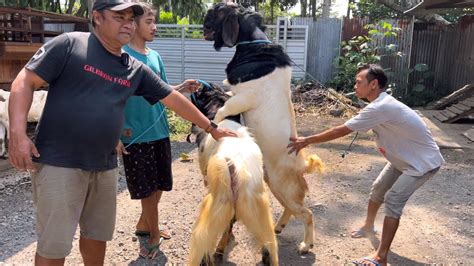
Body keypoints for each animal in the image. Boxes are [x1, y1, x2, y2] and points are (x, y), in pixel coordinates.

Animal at [202, 3, 324, 254]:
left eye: (218, 10)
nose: (204, 18)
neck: (254, 45)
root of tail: (302, 166)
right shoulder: (236, 93)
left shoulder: (244, 97)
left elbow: (222, 110)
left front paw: (216, 124)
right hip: (276, 186)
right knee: (290, 209)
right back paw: (278, 227)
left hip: (281, 186)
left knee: (307, 214)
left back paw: (306, 244)